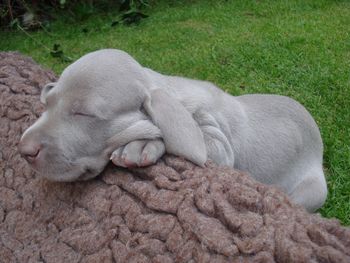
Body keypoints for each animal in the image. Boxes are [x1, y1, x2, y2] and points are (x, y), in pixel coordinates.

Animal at [18, 49, 326, 212]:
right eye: (47, 103)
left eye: (83, 113)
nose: (24, 151)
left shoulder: (221, 148)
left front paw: (140, 145)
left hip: (313, 190)